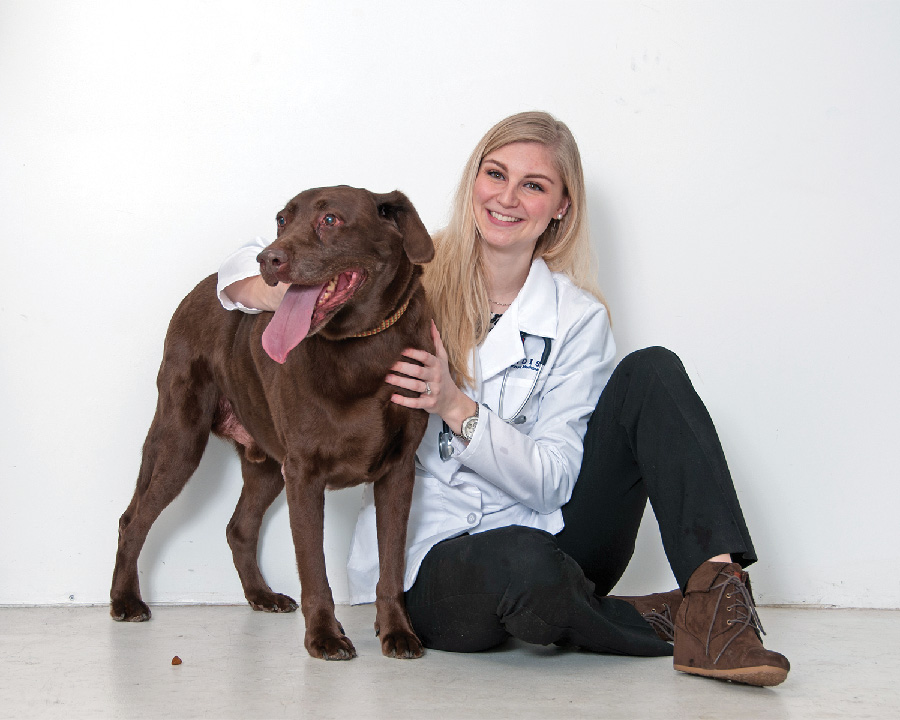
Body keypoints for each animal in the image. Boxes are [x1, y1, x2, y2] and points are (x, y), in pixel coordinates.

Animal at [110, 186, 434, 660]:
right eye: (282, 219)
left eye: (331, 220)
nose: (267, 258)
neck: (361, 347)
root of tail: (200, 289)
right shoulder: (303, 473)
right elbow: (313, 567)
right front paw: (324, 637)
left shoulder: (399, 470)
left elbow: (391, 562)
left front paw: (397, 632)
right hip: (180, 439)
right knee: (133, 520)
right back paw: (125, 601)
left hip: (264, 464)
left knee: (239, 528)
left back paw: (261, 596)